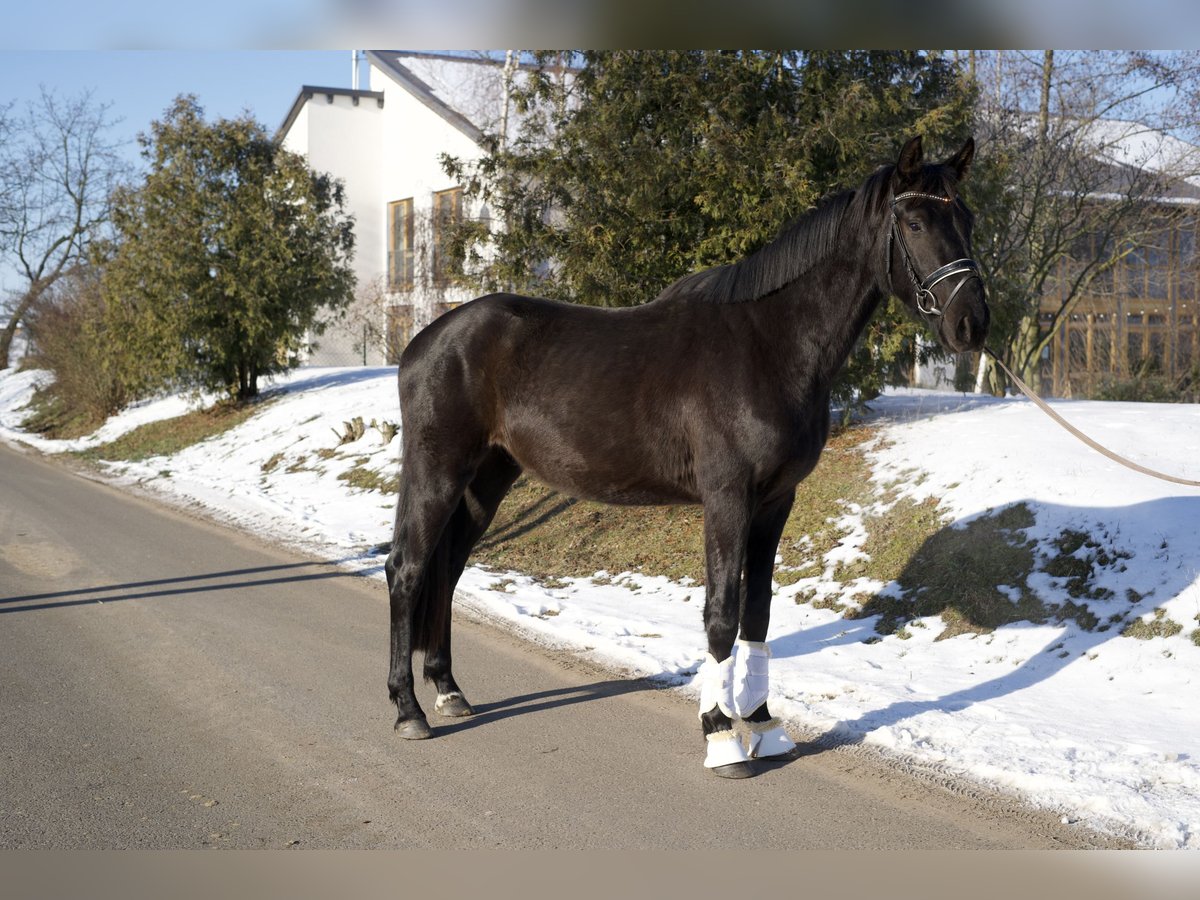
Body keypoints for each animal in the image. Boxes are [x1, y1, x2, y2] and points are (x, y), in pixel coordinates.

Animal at [388, 137, 988, 777]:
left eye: (968, 219)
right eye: (916, 221)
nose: (972, 323)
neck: (770, 344)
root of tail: (424, 340)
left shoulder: (776, 500)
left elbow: (757, 612)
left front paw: (762, 724)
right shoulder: (727, 498)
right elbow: (721, 613)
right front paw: (722, 736)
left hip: (487, 479)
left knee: (447, 571)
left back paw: (448, 691)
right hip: (437, 471)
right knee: (407, 569)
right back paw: (408, 710)